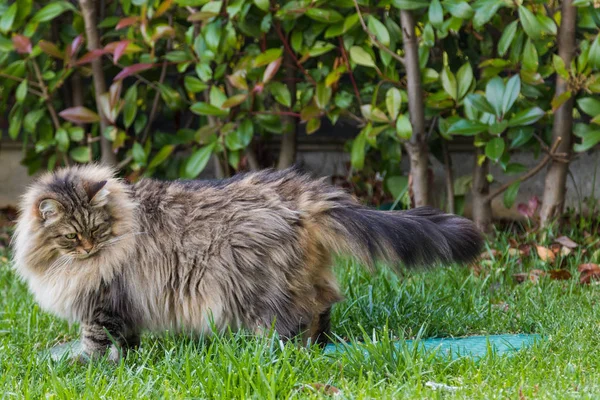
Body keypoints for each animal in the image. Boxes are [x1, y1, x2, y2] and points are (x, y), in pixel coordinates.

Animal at [12, 164, 482, 360]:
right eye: (71, 235)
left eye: (96, 229)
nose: (89, 248)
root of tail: (302, 191)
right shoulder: (122, 304)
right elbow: (124, 342)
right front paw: (120, 364)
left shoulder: (103, 302)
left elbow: (96, 340)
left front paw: (86, 365)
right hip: (301, 277)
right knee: (324, 306)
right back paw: (318, 347)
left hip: (255, 289)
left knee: (292, 321)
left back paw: (273, 355)